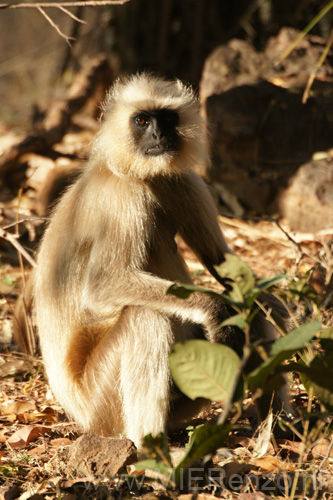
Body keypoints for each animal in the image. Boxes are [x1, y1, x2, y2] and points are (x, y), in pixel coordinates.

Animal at [33, 73, 292, 446]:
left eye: (166, 119)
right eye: (142, 121)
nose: (158, 136)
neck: (135, 171)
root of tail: (76, 415)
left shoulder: (185, 180)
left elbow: (224, 266)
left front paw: (277, 306)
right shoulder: (122, 195)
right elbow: (103, 286)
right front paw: (216, 309)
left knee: (247, 307)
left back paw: (280, 430)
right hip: (101, 407)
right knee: (145, 318)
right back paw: (149, 451)